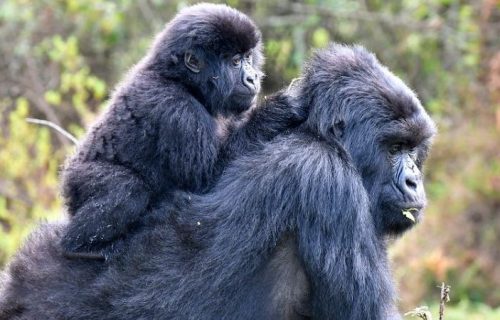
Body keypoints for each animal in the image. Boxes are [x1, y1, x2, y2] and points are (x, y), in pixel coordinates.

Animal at [58, 3, 300, 258]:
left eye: (248, 57)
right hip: (78, 181)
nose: (253, 78)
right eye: (235, 62)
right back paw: (83, 248)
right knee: (126, 188)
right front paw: (274, 111)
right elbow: (208, 181)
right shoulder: (177, 109)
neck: (181, 80)